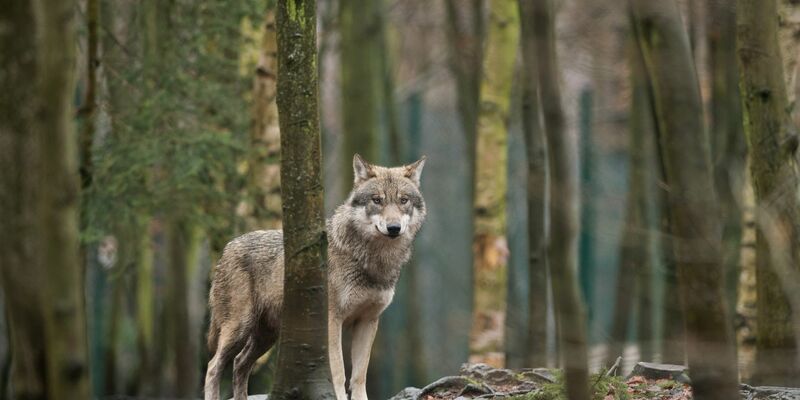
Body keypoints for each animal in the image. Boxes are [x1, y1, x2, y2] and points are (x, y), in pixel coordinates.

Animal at [204, 154, 427, 400]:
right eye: (377, 200)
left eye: (403, 200)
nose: (393, 227)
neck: (372, 260)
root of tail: (227, 247)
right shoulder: (332, 321)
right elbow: (338, 371)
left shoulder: (368, 321)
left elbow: (359, 376)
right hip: (240, 328)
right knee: (214, 366)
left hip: (266, 336)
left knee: (239, 363)